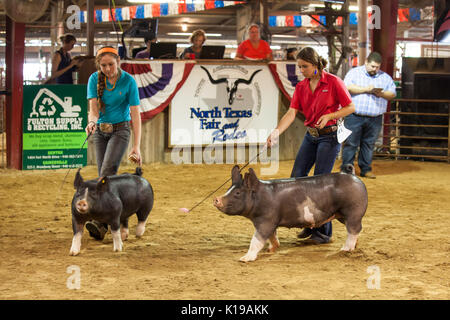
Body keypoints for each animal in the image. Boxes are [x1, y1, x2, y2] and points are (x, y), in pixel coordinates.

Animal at [214, 165, 366, 262]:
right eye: (228, 189)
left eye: (237, 192)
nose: (216, 199)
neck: (262, 197)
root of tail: (352, 174)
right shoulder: (271, 222)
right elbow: (272, 236)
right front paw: (271, 250)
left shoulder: (266, 221)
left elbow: (256, 240)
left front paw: (244, 259)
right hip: (342, 215)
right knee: (354, 229)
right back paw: (354, 246)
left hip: (353, 210)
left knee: (354, 229)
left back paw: (345, 250)